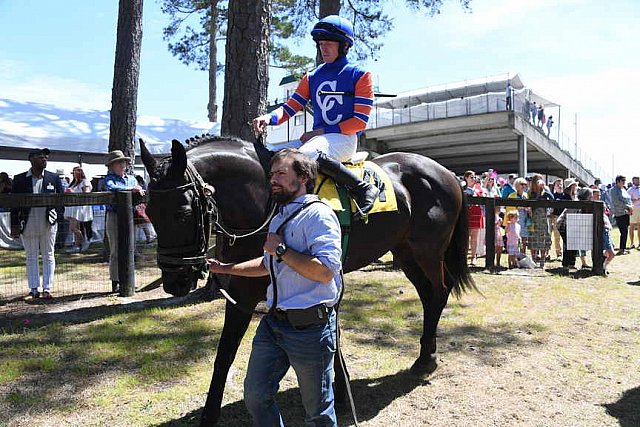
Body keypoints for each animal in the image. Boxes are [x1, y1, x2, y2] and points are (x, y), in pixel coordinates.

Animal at [142, 136, 478, 424]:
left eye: (183, 212)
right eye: (149, 211)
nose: (175, 281)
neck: (265, 204)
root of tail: (445, 172)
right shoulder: (240, 296)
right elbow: (225, 354)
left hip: (428, 251)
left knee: (439, 292)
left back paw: (426, 359)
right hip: (405, 252)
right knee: (427, 295)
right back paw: (424, 354)